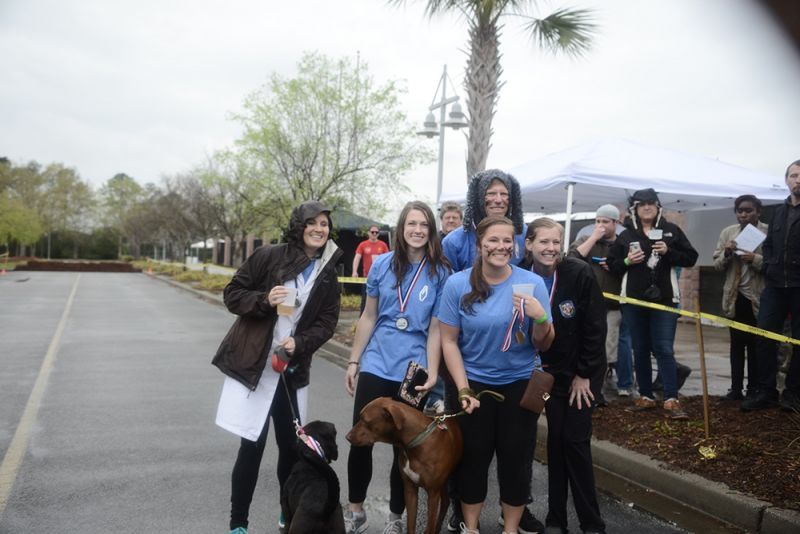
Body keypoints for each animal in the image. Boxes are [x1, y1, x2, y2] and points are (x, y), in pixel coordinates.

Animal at [344, 398, 462, 534]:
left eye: (365, 420)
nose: (347, 437)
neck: (417, 442)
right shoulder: (410, 489)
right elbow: (410, 522)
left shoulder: (433, 494)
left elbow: (429, 525)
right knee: (446, 501)